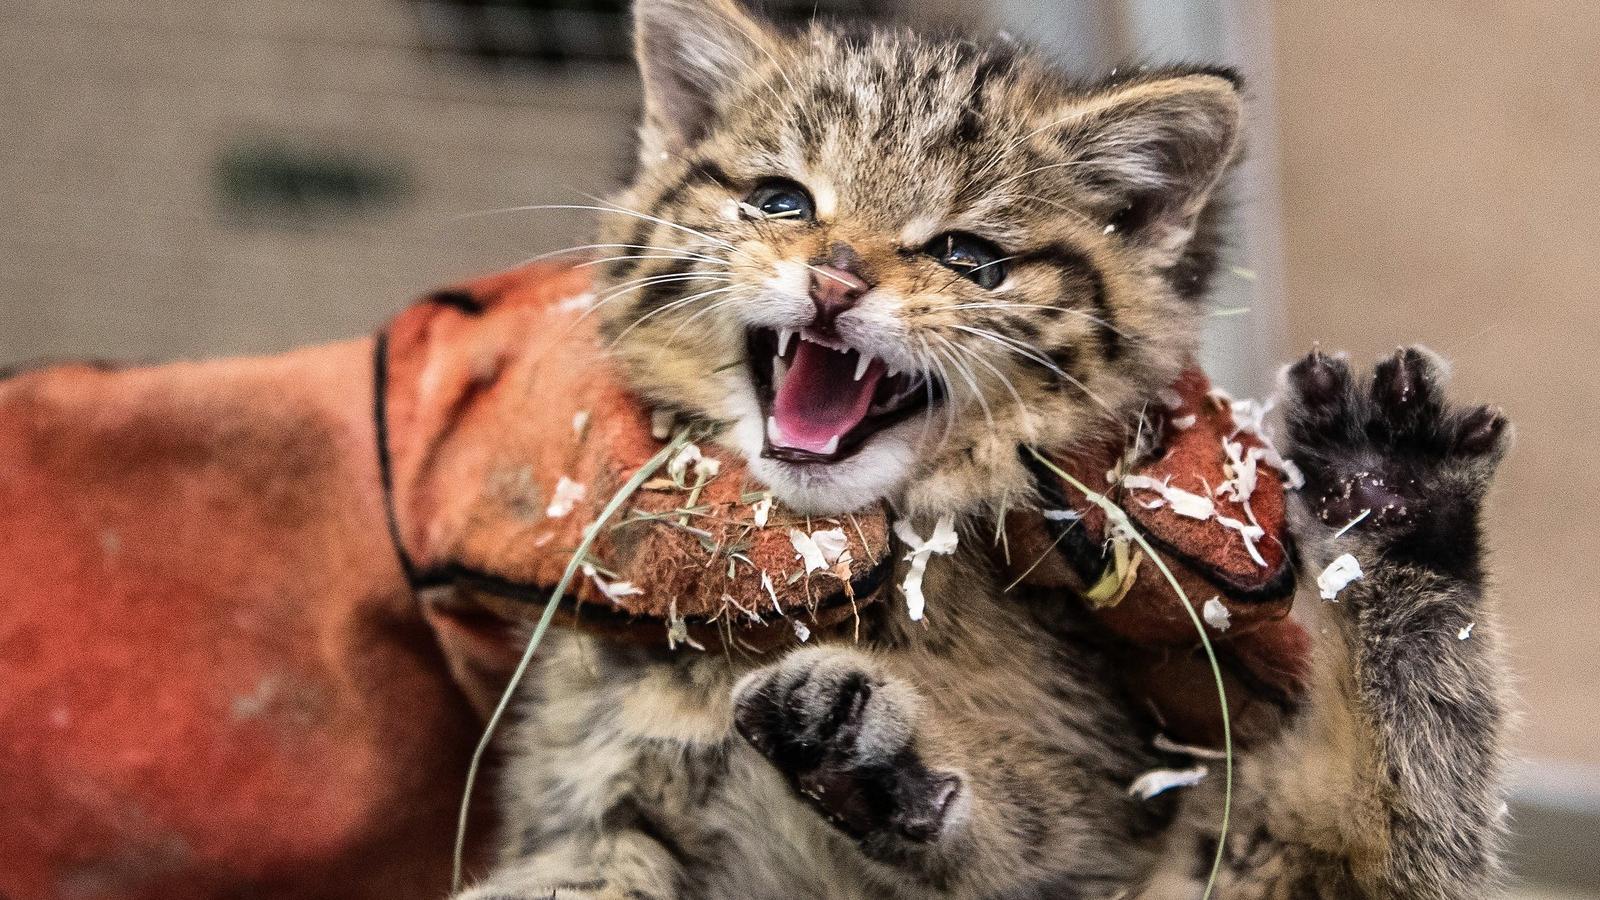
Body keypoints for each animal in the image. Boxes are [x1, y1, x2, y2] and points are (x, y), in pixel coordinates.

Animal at [454, 0, 1510, 890]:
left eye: (967, 257)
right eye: (782, 200)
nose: (836, 278)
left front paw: (885, 773)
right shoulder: (586, 800)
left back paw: (1394, 491)